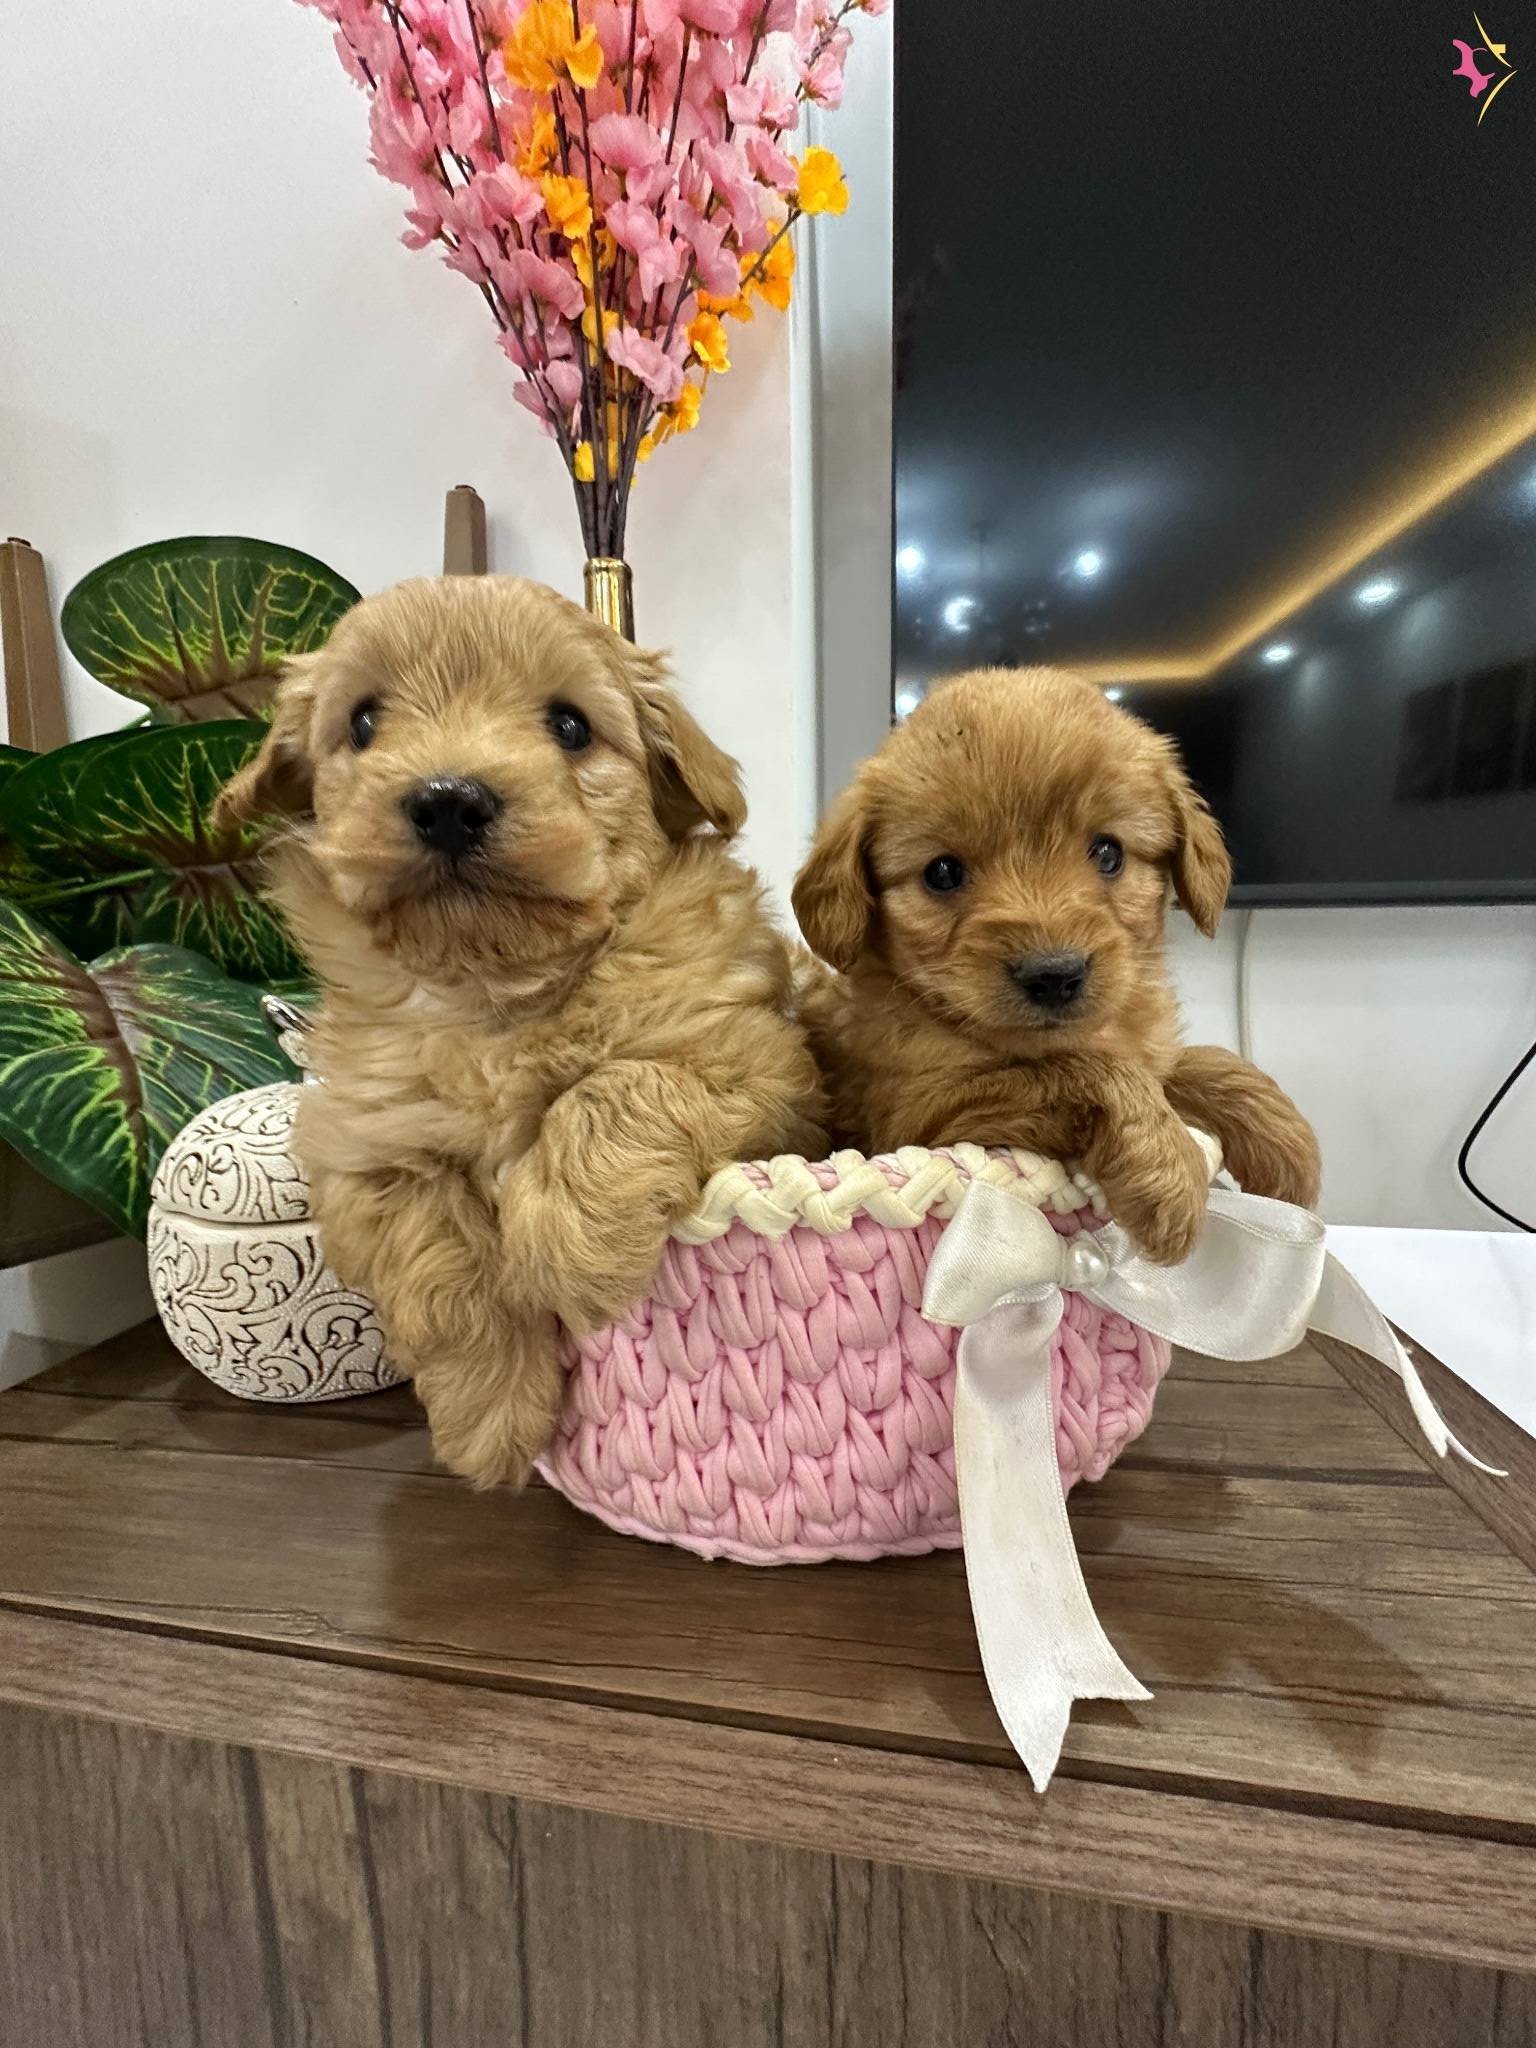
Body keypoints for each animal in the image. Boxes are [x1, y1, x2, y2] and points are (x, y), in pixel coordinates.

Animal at [216, 576, 824, 1487]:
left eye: (569, 725)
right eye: (363, 722)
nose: (448, 801)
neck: (495, 993)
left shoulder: (761, 1064)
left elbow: (615, 1086)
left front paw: (570, 1242)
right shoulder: (369, 1139)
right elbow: (434, 1261)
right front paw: (487, 1414)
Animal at [792, 667, 1319, 1263]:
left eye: (1109, 853)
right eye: (943, 872)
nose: (1053, 974)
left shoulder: (1143, 1047)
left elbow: (1192, 1061)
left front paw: (1282, 1138)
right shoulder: (919, 1112)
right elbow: (1084, 1072)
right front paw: (1169, 1170)